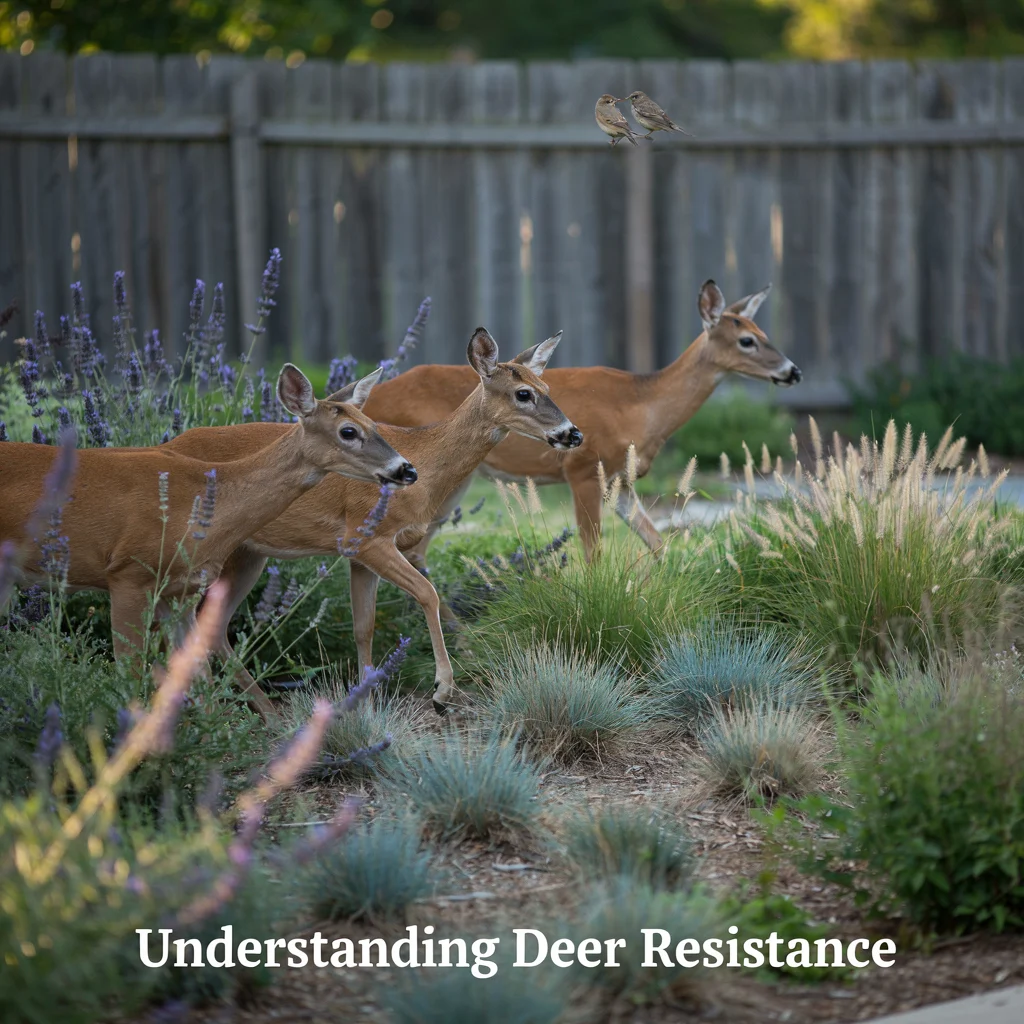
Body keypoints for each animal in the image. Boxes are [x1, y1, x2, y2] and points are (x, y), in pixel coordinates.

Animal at [0, 364, 417, 718]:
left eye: (374, 423)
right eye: (348, 431)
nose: (406, 470)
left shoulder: (180, 589)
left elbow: (193, 671)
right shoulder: (128, 573)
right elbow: (130, 675)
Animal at [161, 327, 581, 712]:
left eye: (546, 385)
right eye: (523, 393)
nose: (572, 434)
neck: (425, 467)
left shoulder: (359, 554)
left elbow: (364, 626)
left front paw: (364, 701)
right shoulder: (368, 536)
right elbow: (427, 592)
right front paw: (441, 691)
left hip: (247, 553)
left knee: (212, 627)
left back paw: (264, 714)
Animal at [362, 279, 801, 566]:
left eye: (762, 331)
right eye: (747, 341)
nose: (793, 371)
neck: (643, 406)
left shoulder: (620, 479)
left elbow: (657, 542)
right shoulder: (584, 468)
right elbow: (593, 554)